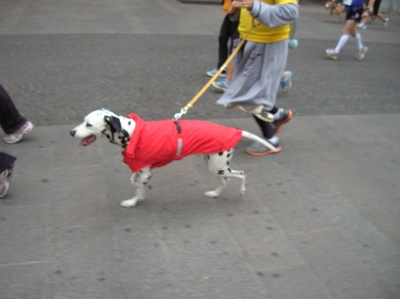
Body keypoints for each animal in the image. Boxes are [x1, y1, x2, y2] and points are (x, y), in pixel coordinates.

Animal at [70, 109, 276, 207]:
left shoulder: (145, 172)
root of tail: (233, 130)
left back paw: (241, 191)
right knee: (225, 181)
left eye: (89, 124)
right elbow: (136, 183)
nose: (71, 132)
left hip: (218, 166)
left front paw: (133, 201)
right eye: (83, 121)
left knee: (242, 174)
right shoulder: (142, 169)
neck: (131, 132)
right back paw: (214, 193)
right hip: (214, 165)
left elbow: (138, 188)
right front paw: (140, 194)